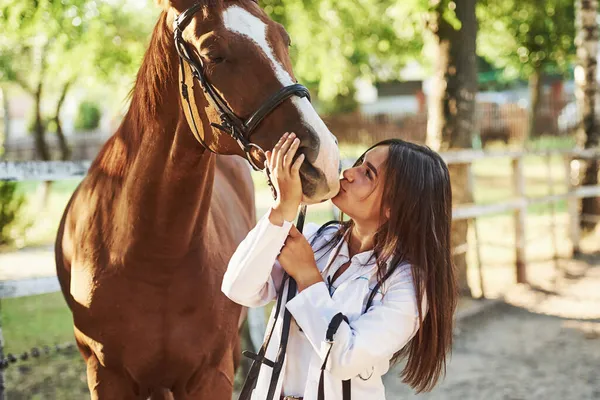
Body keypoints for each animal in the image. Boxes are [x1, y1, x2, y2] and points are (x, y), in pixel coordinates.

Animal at [55, 1, 342, 398]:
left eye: (283, 38)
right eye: (214, 54)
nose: (323, 160)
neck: (154, 258)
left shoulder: (211, 375)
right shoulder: (105, 377)